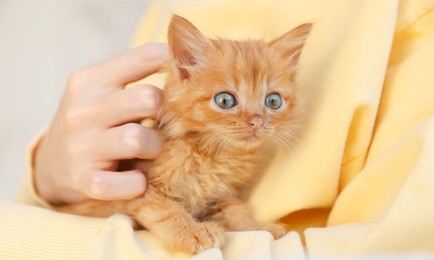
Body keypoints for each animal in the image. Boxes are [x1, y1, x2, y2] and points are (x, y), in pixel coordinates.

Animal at [61, 15, 312, 254]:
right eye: (225, 100)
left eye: (273, 101)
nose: (257, 122)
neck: (212, 156)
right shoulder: (137, 183)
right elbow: (165, 209)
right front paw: (192, 232)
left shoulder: (221, 195)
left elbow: (236, 210)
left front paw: (256, 226)